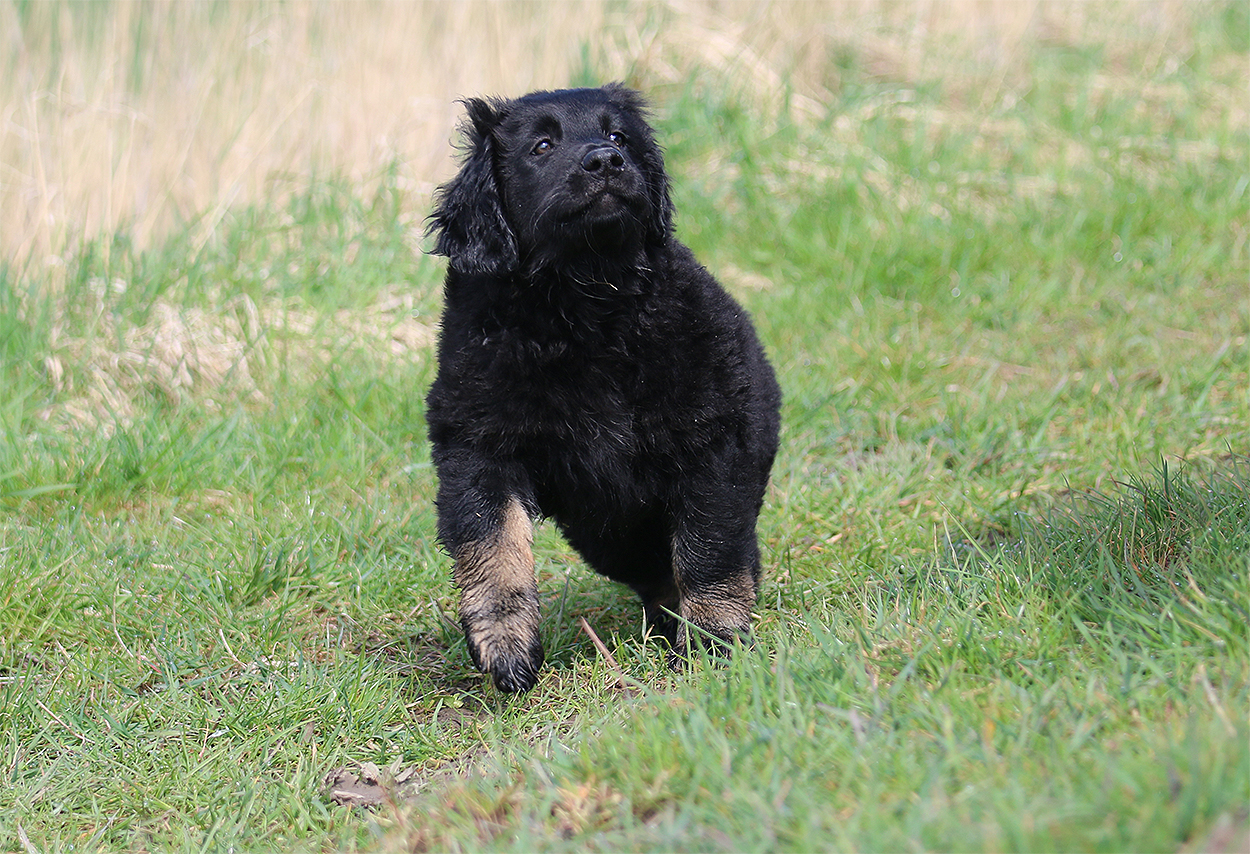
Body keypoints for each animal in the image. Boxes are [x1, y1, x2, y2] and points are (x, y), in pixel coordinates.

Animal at [424, 84, 781, 692]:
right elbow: (493, 544)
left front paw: (715, 643)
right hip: (608, 532)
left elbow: (709, 551)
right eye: (542, 145)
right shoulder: (477, 444)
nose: (606, 161)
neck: (584, 306)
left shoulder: (711, 443)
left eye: (619, 137)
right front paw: (506, 650)